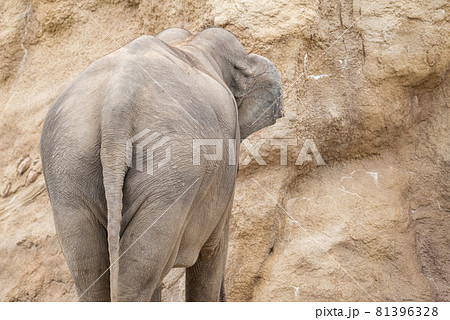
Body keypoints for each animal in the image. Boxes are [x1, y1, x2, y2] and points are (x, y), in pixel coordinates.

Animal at [40, 26, 284, 300]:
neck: (190, 44)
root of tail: (117, 101)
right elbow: (213, 250)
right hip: (172, 169)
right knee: (143, 268)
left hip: (69, 162)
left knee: (91, 268)